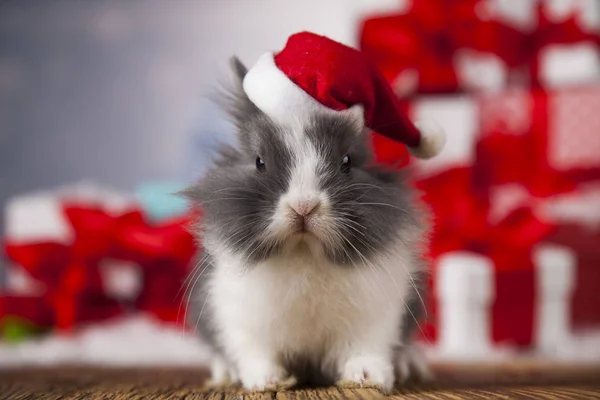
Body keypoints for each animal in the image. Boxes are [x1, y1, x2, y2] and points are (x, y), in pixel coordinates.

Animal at [183, 57, 432, 394]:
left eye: (347, 161)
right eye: (259, 162)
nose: (303, 206)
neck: (304, 253)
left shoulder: (376, 316)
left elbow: (367, 348)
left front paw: (367, 377)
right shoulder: (237, 317)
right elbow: (255, 353)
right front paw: (267, 381)